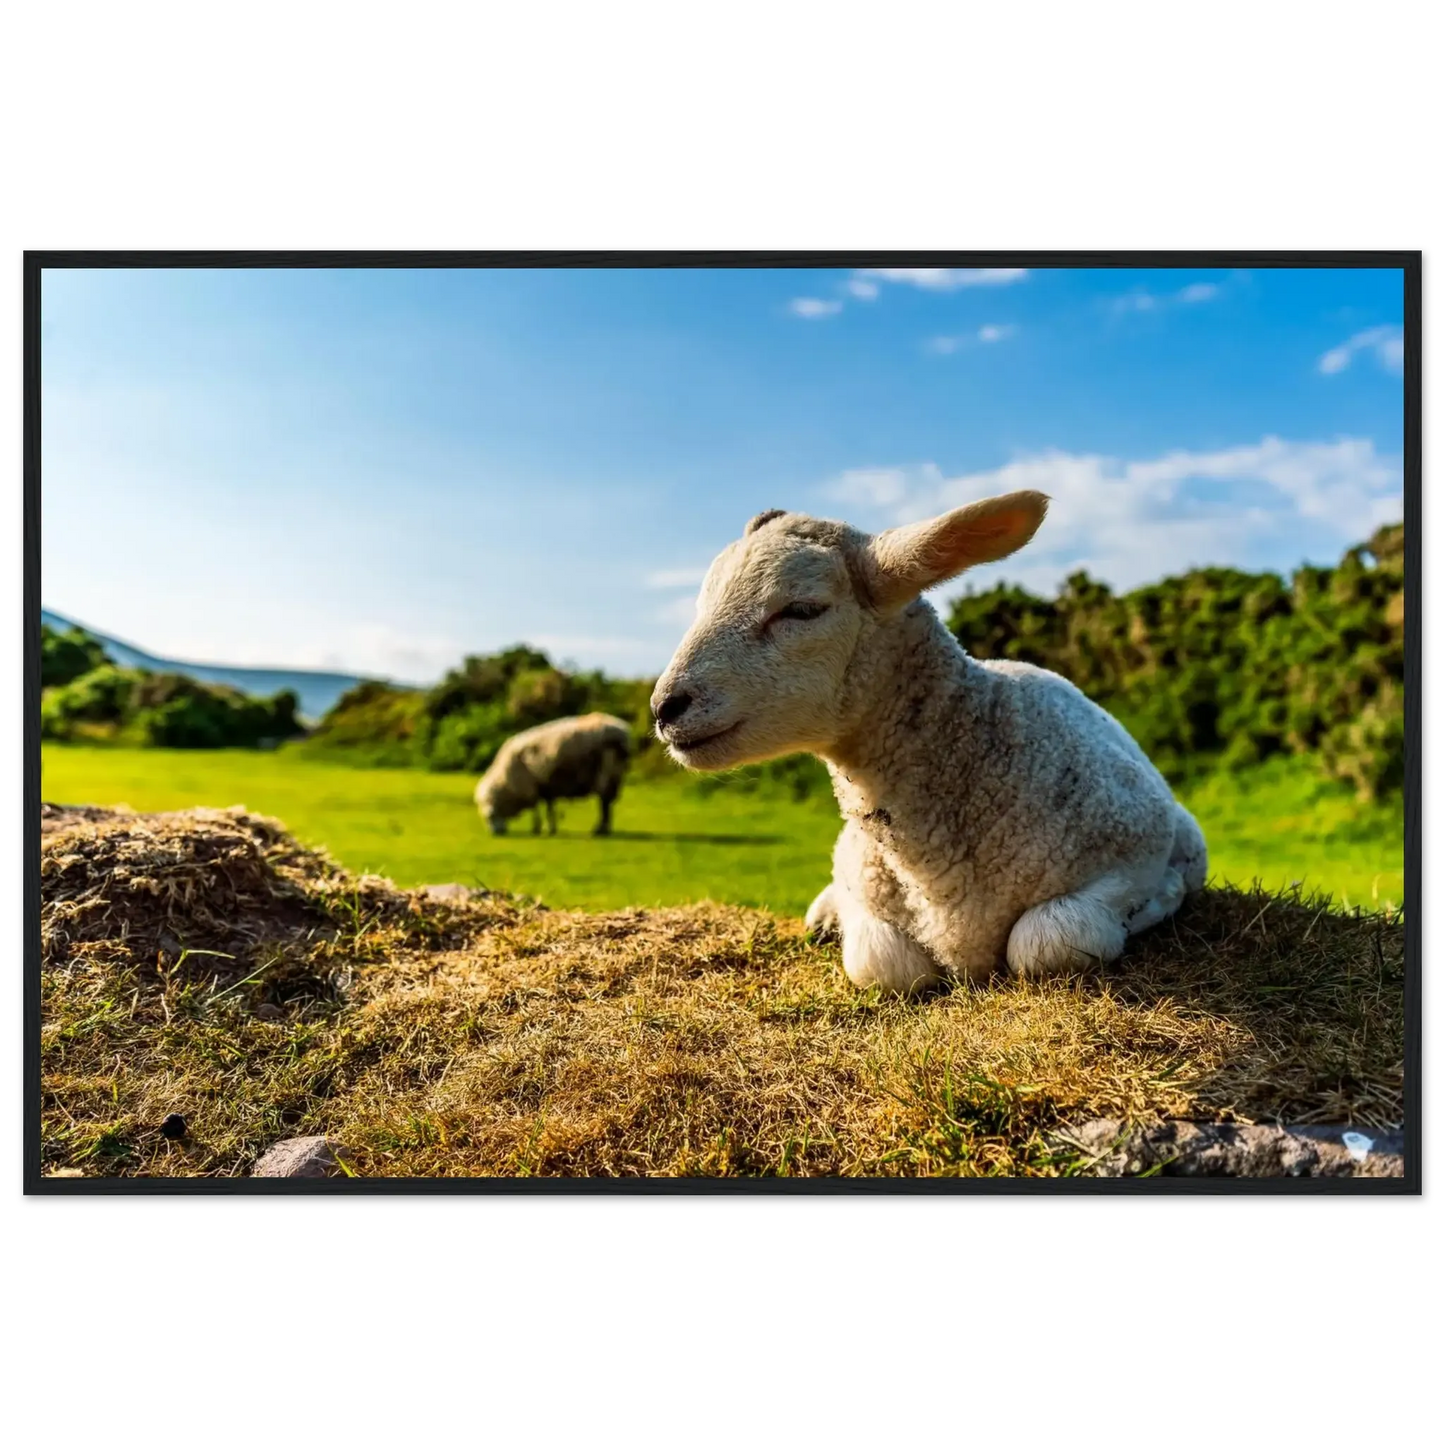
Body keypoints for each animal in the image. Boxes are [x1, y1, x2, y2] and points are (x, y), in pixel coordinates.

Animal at [475, 713, 633, 837]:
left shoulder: (530, 787)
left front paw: (537, 829)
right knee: (607, 803)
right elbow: (549, 807)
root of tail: (623, 731)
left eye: (490, 817)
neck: (506, 782)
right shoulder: (545, 785)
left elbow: (535, 809)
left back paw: (600, 830)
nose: (495, 834)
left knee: (604, 803)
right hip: (614, 774)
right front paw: (550, 828)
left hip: (606, 769)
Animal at [649, 491, 1208, 995]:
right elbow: (883, 965)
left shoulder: (1138, 847)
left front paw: (1160, 900)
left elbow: (1047, 942)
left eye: (803, 609)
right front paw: (840, 919)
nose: (663, 707)